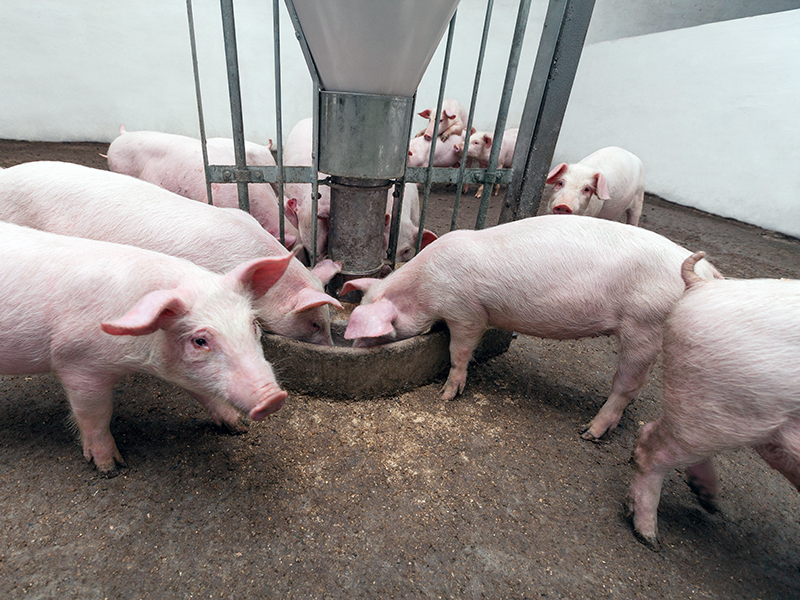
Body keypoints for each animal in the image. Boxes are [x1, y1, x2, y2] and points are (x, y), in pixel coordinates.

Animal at [0, 221, 292, 473]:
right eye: (200, 341)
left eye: (253, 324)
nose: (273, 397)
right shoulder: (77, 363)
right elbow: (95, 414)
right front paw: (111, 468)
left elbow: (203, 391)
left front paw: (238, 426)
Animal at [343, 215, 722, 440]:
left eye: (373, 332)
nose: (353, 349)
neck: (424, 287)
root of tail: (707, 276)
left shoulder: (467, 313)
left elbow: (459, 351)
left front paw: (447, 394)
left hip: (644, 325)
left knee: (627, 384)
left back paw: (589, 432)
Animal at [628, 253, 800, 550]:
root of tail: (701, 284)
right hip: (721, 409)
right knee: (652, 447)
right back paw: (650, 537)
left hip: (704, 406)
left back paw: (709, 504)